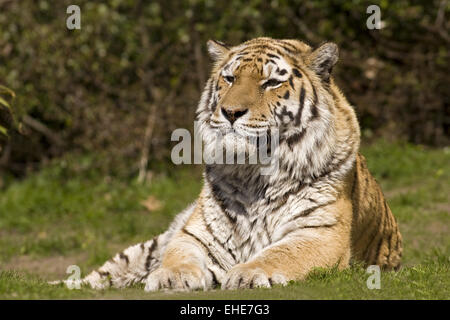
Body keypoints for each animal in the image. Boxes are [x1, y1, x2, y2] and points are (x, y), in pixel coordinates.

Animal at [54, 37, 402, 290]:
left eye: (270, 83)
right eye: (230, 78)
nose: (231, 112)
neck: (255, 175)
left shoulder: (318, 233)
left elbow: (280, 253)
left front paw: (248, 274)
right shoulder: (196, 234)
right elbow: (178, 256)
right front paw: (171, 277)